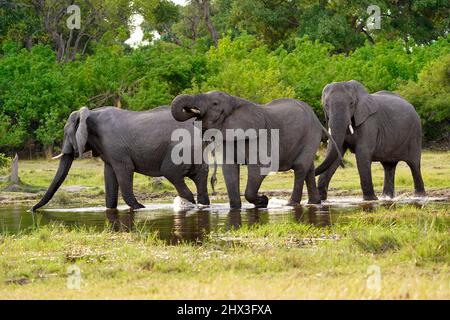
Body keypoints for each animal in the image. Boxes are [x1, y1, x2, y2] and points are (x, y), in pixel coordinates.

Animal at [31, 105, 211, 211]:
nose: (31, 210)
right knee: (201, 176)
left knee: (172, 173)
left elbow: (124, 171)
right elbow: (109, 177)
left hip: (181, 149)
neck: (92, 112)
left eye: (67, 133)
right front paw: (111, 209)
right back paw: (202, 204)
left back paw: (189, 204)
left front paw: (139, 208)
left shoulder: (116, 148)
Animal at [171, 90, 340, 210]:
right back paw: (314, 203)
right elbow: (230, 171)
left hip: (310, 135)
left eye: (215, 103)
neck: (235, 101)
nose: (192, 109)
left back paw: (290, 204)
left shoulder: (258, 137)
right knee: (308, 168)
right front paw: (236, 208)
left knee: (300, 168)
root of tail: (318, 121)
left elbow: (259, 169)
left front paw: (263, 201)